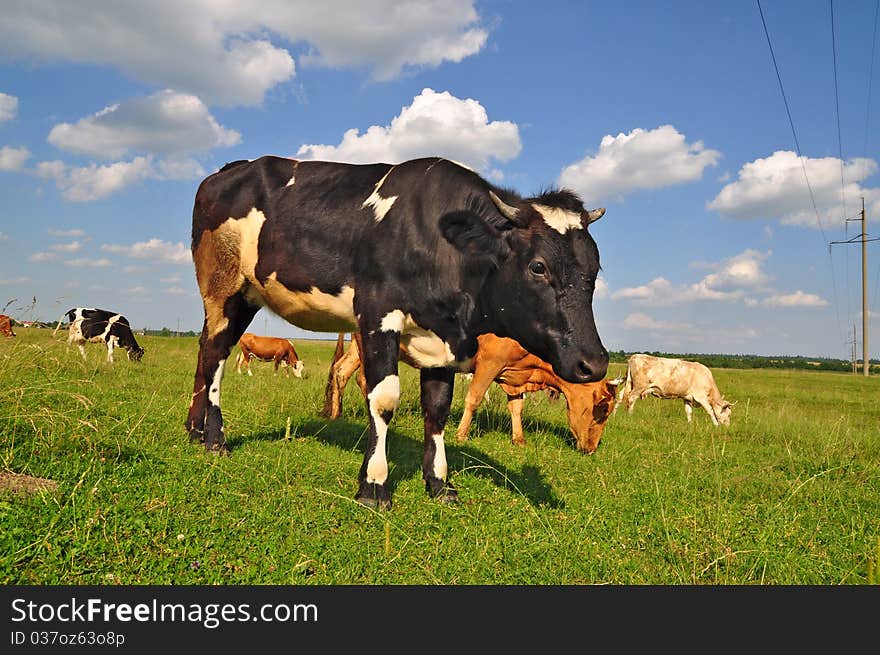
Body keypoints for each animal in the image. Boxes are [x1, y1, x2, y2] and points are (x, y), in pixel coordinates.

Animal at [322, 336, 620, 454]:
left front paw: (519, 439)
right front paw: (462, 434)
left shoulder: (513, 375)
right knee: (363, 380)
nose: (592, 448)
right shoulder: (489, 361)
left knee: (341, 371)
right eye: (602, 410)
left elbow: (516, 408)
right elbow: (474, 398)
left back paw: (335, 414)